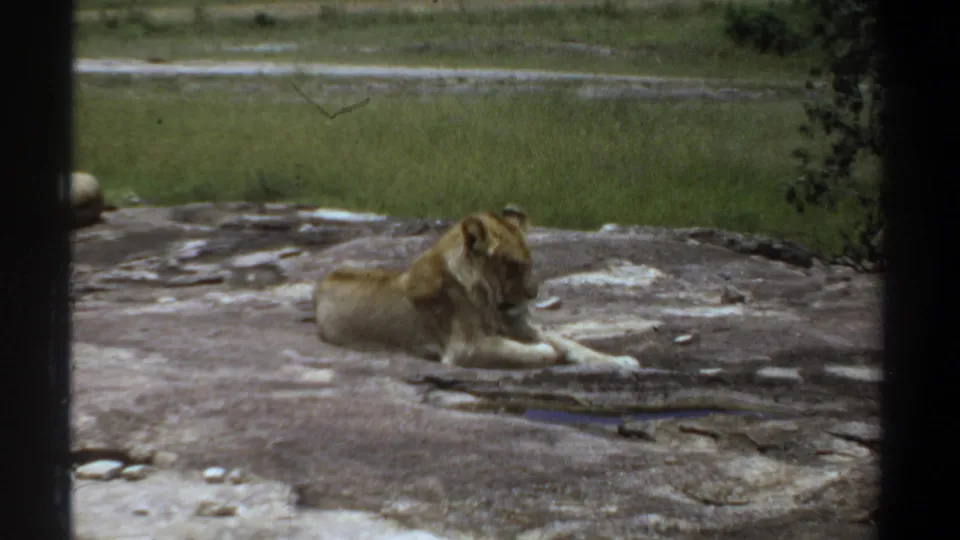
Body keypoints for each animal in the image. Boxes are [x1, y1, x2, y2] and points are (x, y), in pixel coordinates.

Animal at [311, 205, 640, 370]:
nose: (533, 294)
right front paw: (546, 352)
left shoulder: (519, 325)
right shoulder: (465, 348)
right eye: (513, 265)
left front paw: (620, 360)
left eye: (529, 262)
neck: (487, 297)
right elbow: (529, 351)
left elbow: (571, 342)